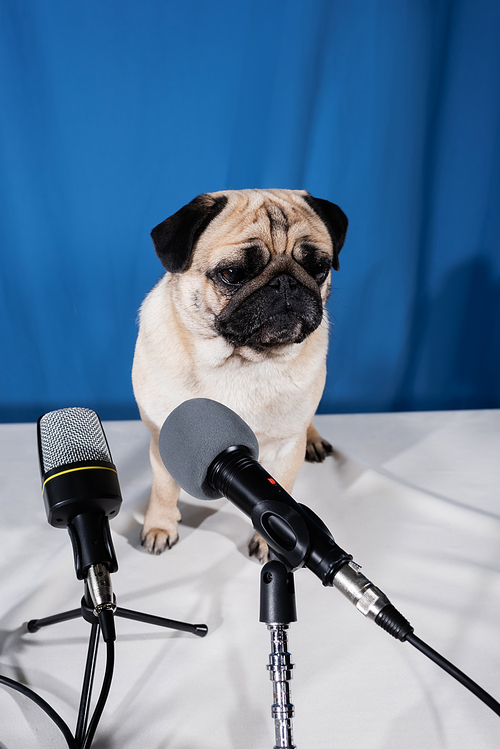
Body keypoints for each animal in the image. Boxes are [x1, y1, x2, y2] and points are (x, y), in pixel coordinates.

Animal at [133, 190, 348, 560]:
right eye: (232, 273)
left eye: (318, 268)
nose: (285, 282)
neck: (240, 360)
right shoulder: (163, 436)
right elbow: (163, 489)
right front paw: (160, 526)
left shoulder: (286, 446)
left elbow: (281, 494)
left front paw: (271, 542)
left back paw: (314, 439)